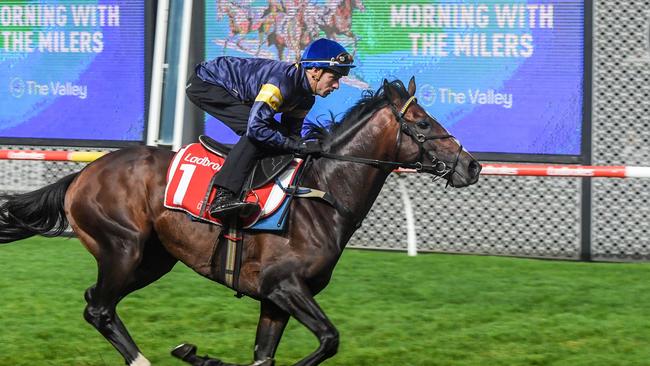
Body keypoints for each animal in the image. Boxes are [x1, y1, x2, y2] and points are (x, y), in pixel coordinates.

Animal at [0, 77, 476, 366]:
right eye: (422, 123)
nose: (471, 166)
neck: (320, 194)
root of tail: (84, 173)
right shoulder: (284, 286)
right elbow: (329, 339)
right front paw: (197, 354)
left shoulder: (274, 299)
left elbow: (266, 356)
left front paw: (198, 353)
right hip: (123, 247)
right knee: (99, 307)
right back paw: (143, 359)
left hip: (154, 259)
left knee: (97, 302)